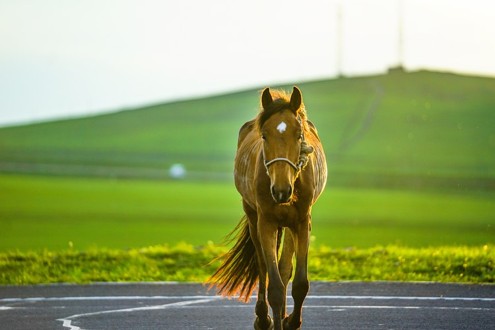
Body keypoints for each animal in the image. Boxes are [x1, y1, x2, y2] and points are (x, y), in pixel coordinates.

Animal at [207, 87, 328, 330]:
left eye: (299, 135)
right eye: (264, 135)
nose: (281, 190)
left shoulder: (302, 222)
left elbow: (300, 283)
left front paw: (291, 321)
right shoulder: (266, 222)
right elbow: (275, 287)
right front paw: (273, 319)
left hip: (289, 225)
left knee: (284, 269)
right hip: (254, 218)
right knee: (263, 266)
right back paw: (263, 317)